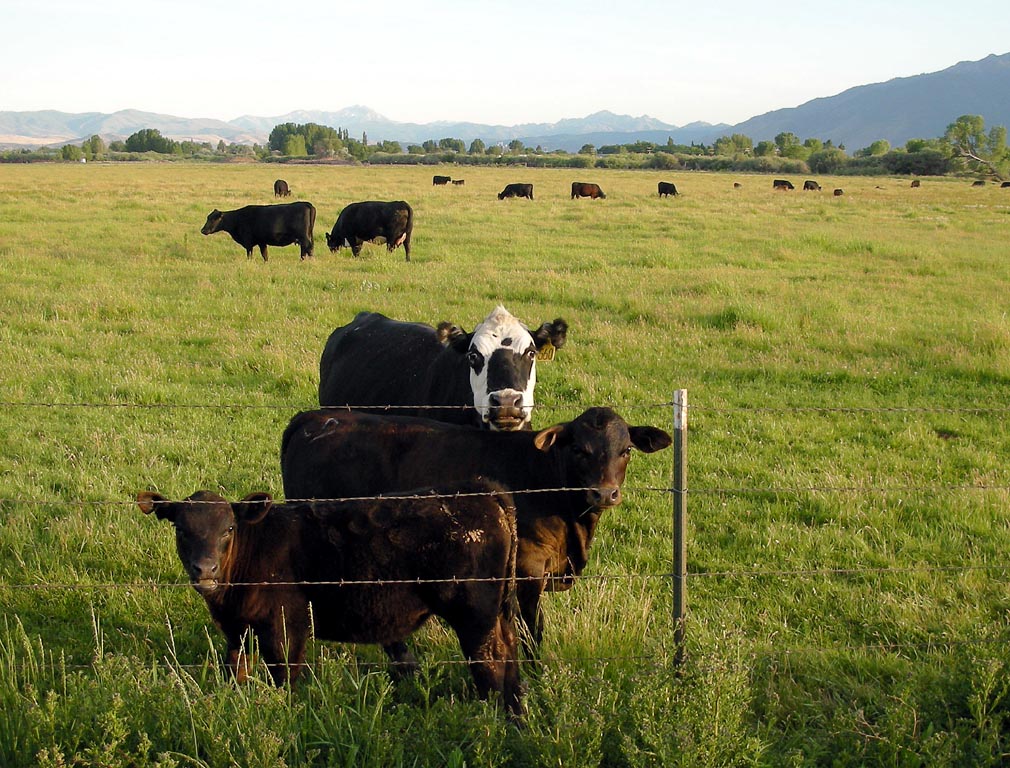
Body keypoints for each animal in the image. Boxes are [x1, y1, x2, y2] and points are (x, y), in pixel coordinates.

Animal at [136, 476, 521, 715]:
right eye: (181, 529)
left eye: (228, 528)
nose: (205, 569)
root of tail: (481, 489)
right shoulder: (237, 629)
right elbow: (236, 669)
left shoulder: (284, 627)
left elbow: (284, 677)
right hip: (498, 612)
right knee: (511, 650)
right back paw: (515, 714)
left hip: (474, 615)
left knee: (491, 660)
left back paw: (491, 718)